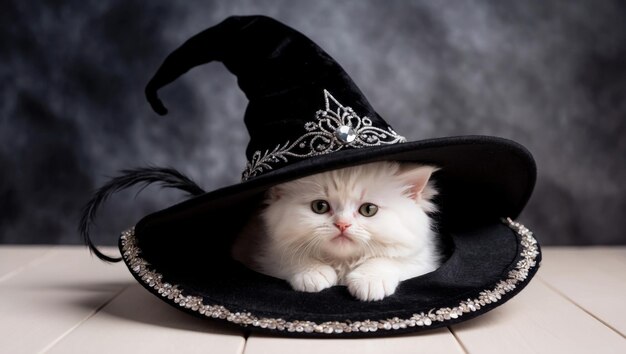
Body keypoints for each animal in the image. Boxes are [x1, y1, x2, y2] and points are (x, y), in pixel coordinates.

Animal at [232, 162, 442, 300]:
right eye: (320, 207)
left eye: (368, 210)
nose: (342, 224)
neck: (343, 263)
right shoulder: (266, 251)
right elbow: (292, 256)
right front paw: (314, 274)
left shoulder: (422, 260)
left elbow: (388, 260)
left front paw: (370, 281)